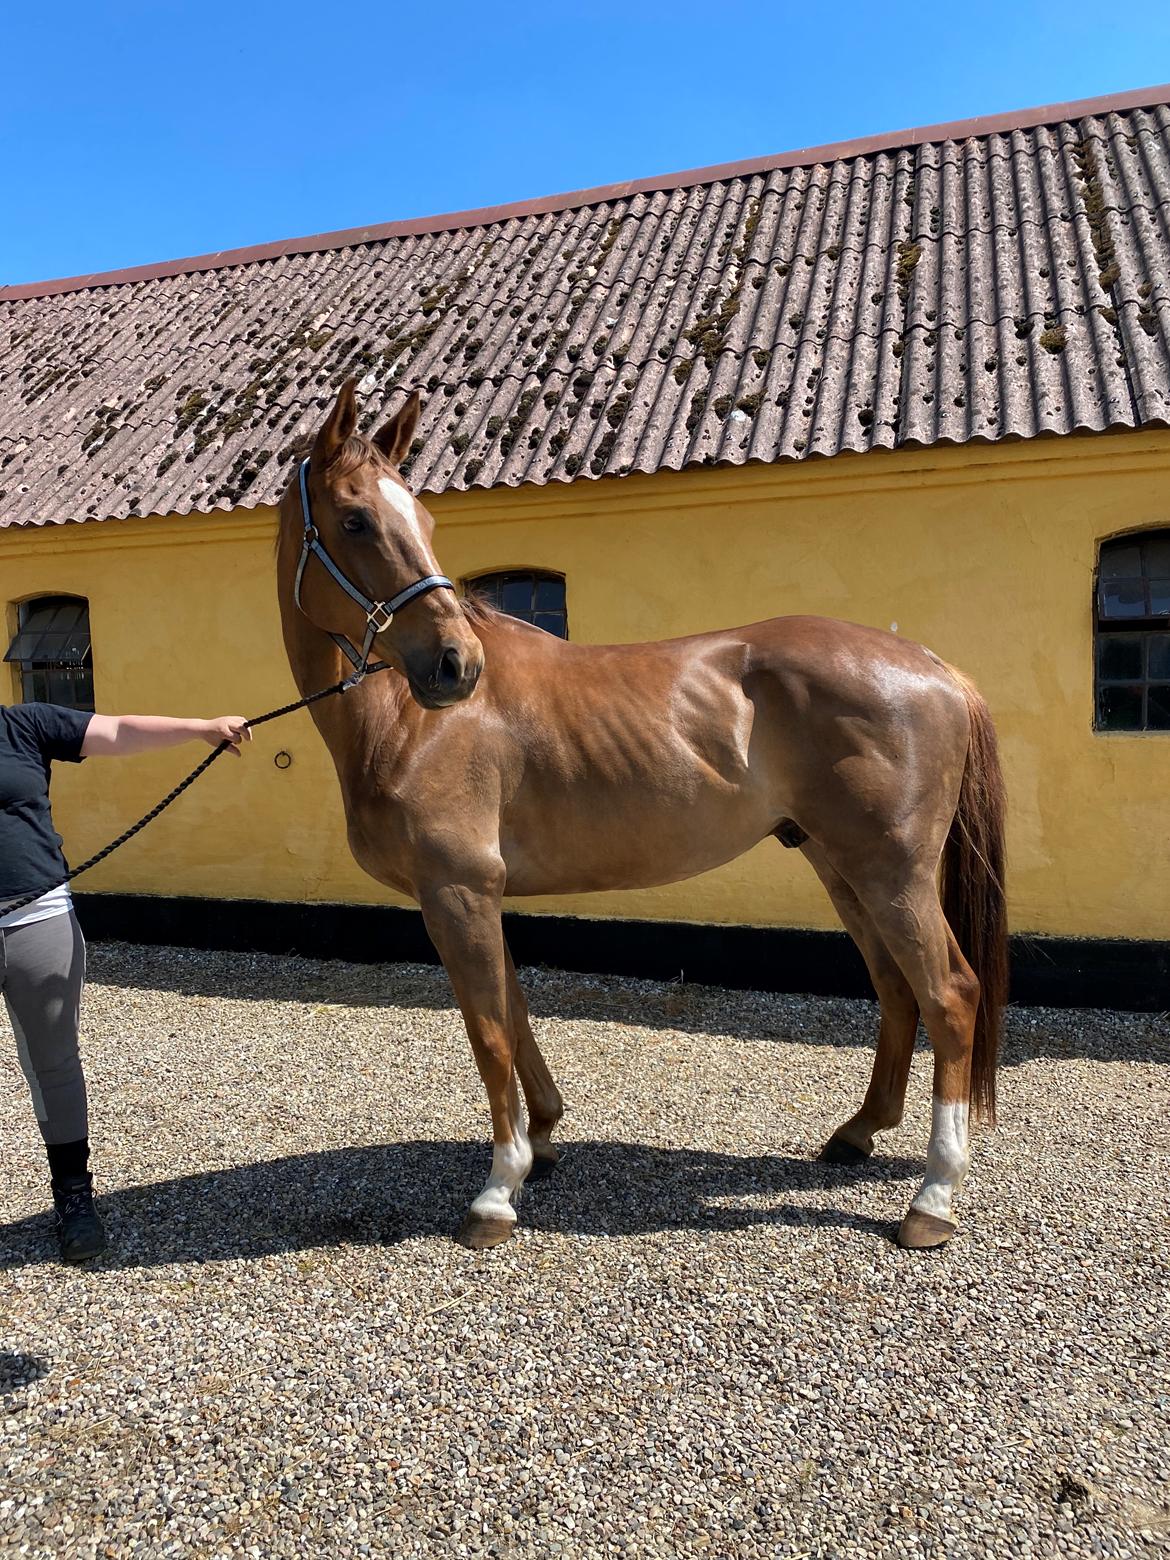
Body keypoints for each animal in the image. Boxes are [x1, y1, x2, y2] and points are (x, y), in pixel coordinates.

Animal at [277, 380, 1010, 1254]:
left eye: (420, 520)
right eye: (357, 519)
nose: (457, 665)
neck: (409, 722)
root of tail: (933, 666)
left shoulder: (455, 892)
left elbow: (489, 1033)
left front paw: (496, 1192)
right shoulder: (481, 896)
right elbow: (515, 1011)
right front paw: (543, 1141)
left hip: (891, 873)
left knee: (950, 995)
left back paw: (933, 1197)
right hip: (840, 867)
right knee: (897, 990)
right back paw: (857, 1133)